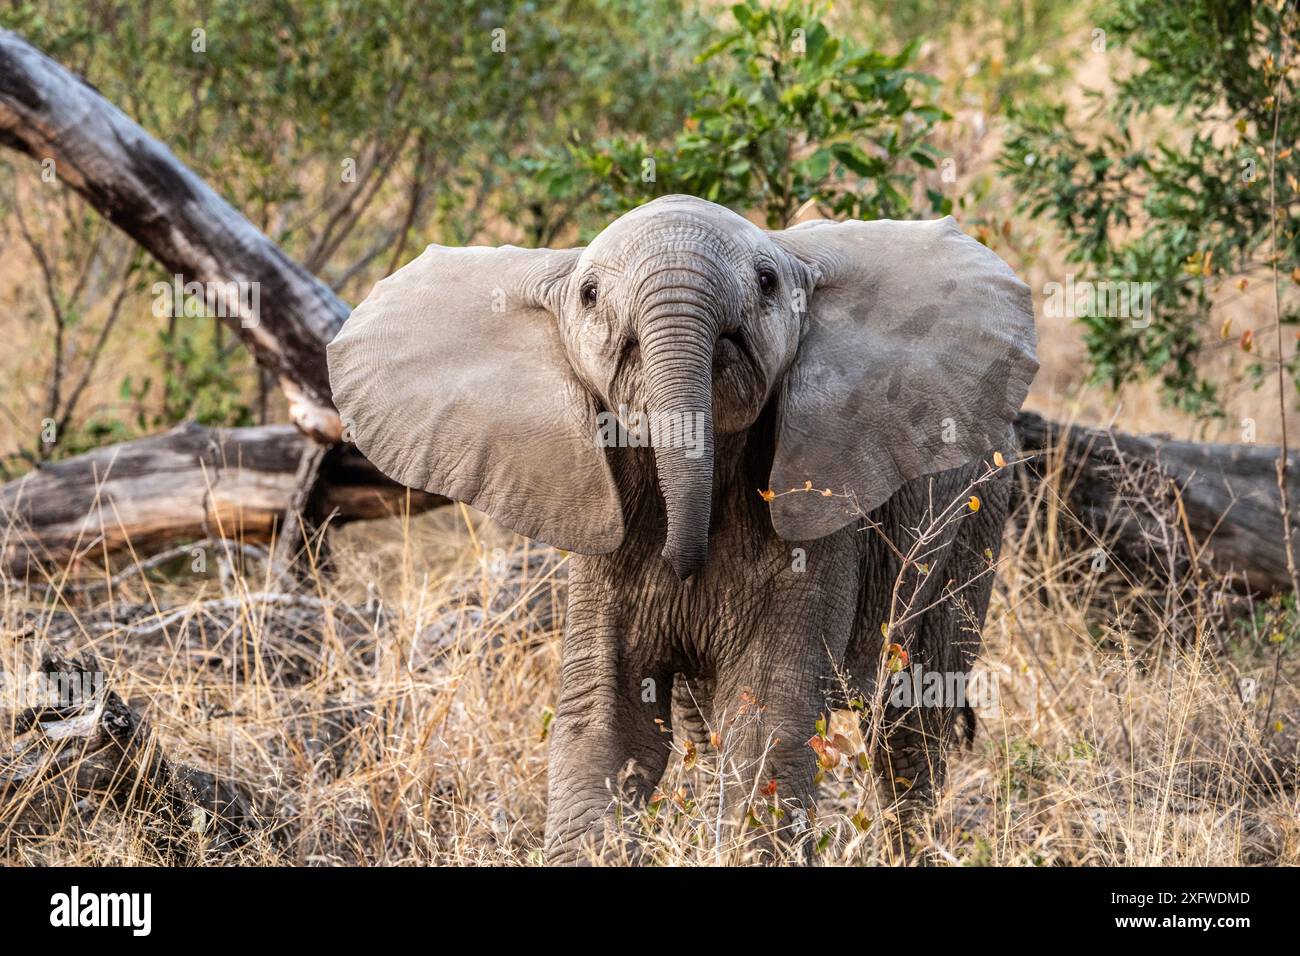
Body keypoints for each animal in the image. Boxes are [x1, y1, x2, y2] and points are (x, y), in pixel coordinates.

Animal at [327, 192, 1034, 858]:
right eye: (588, 295)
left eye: (768, 283)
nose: (683, 561)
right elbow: (609, 726)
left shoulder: (818, 531)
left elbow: (768, 718)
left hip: (978, 512)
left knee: (912, 723)